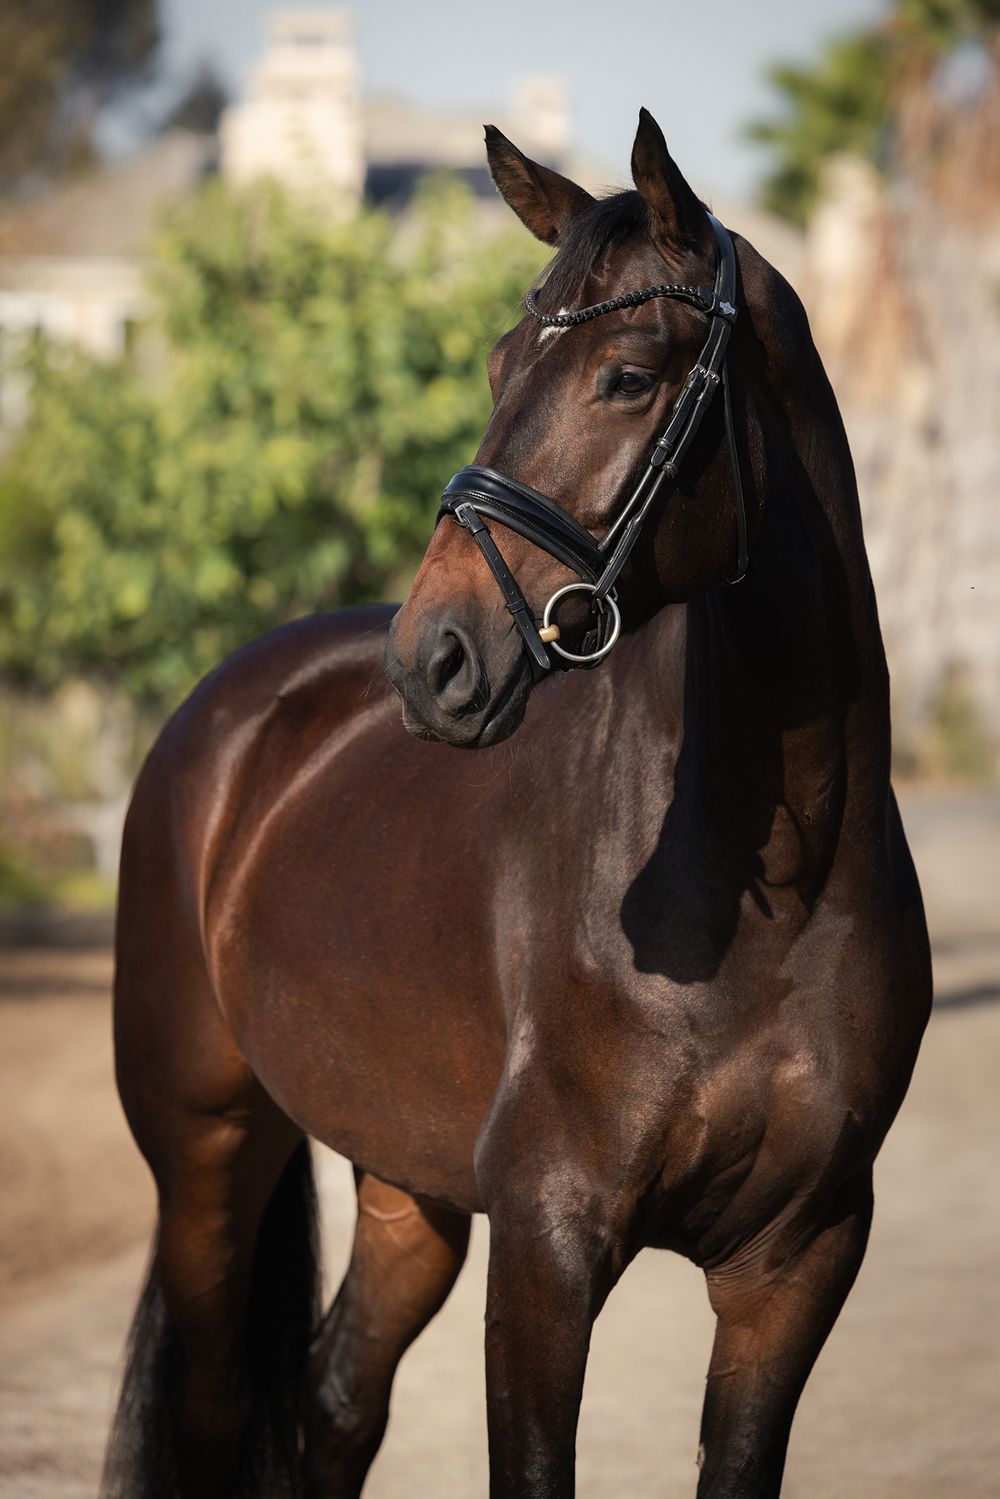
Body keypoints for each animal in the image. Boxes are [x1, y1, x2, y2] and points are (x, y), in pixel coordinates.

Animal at [102, 109, 932, 1499]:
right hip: (205, 1154)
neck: (778, 879)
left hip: (408, 1190)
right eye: (498, 363)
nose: (431, 658)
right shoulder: (548, 1240)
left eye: (629, 377)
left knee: (335, 1406)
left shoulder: (798, 1260)